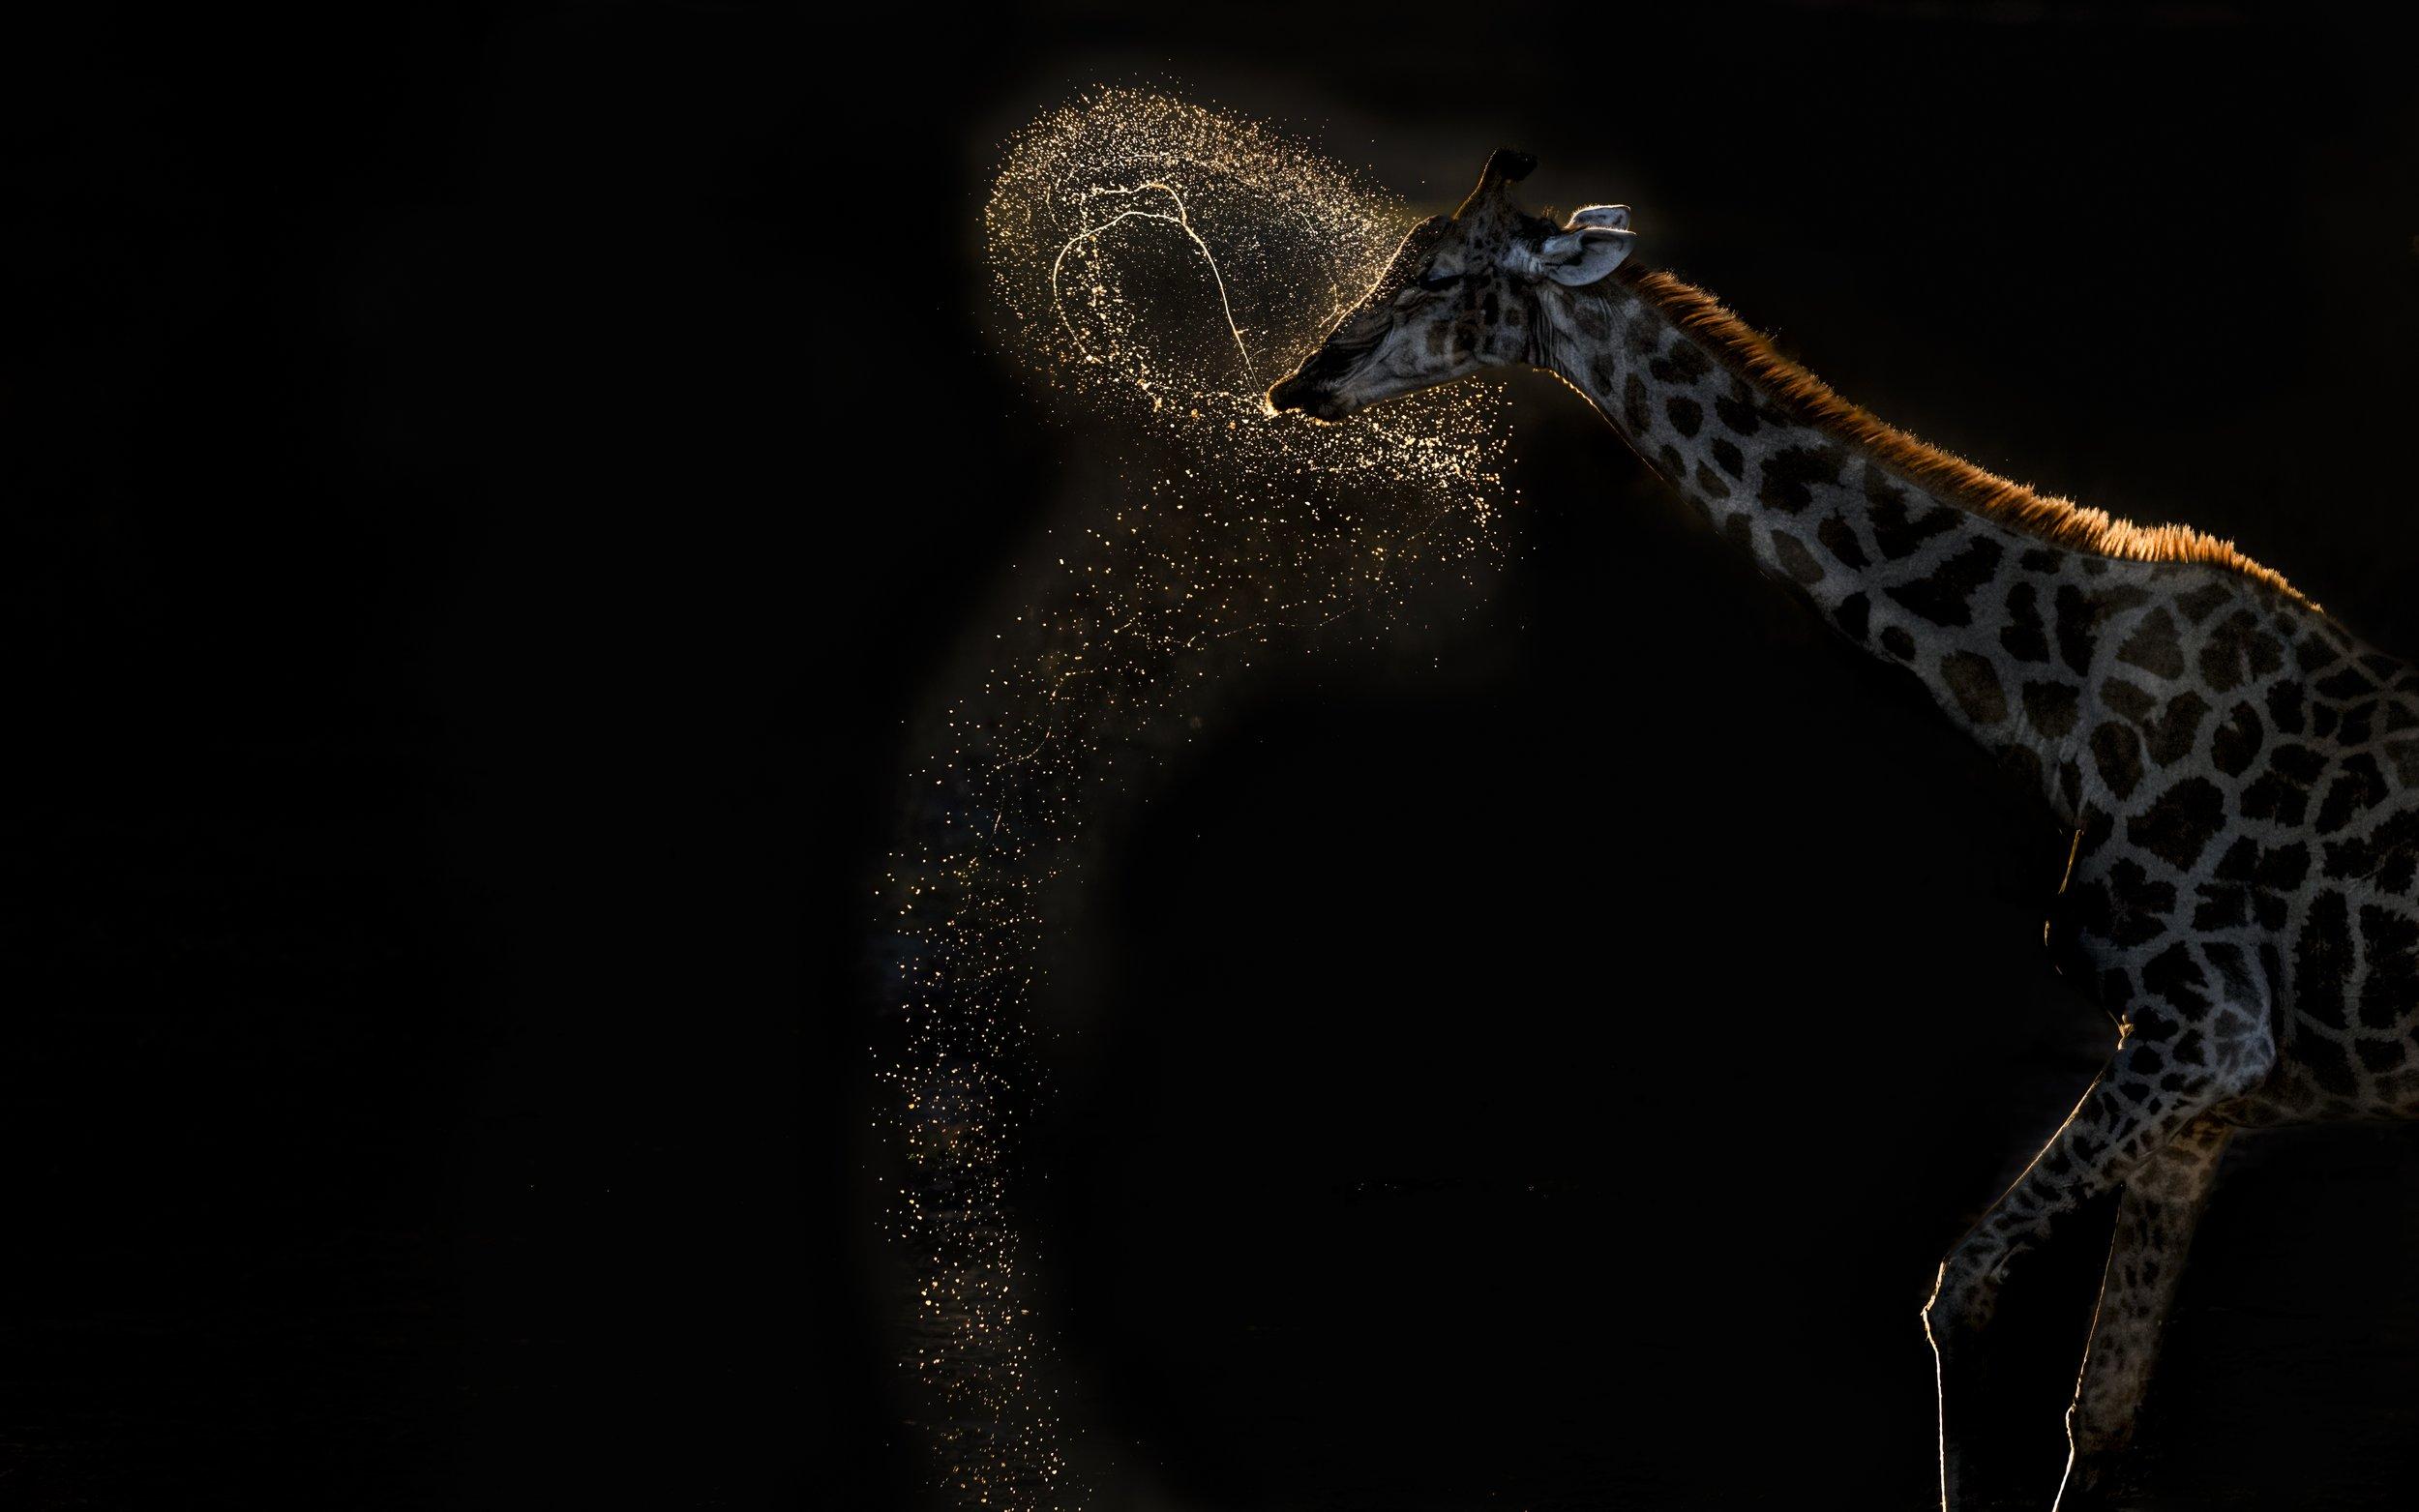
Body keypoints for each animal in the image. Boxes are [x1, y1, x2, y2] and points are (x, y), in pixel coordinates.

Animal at [1266, 149, 2419, 1507]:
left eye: (1441, 277)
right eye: (1399, 259)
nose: (1301, 382)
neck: (2053, 702)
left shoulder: (2206, 1029)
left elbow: (1960, 1292)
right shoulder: (2210, 1091)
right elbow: (2101, 1410)